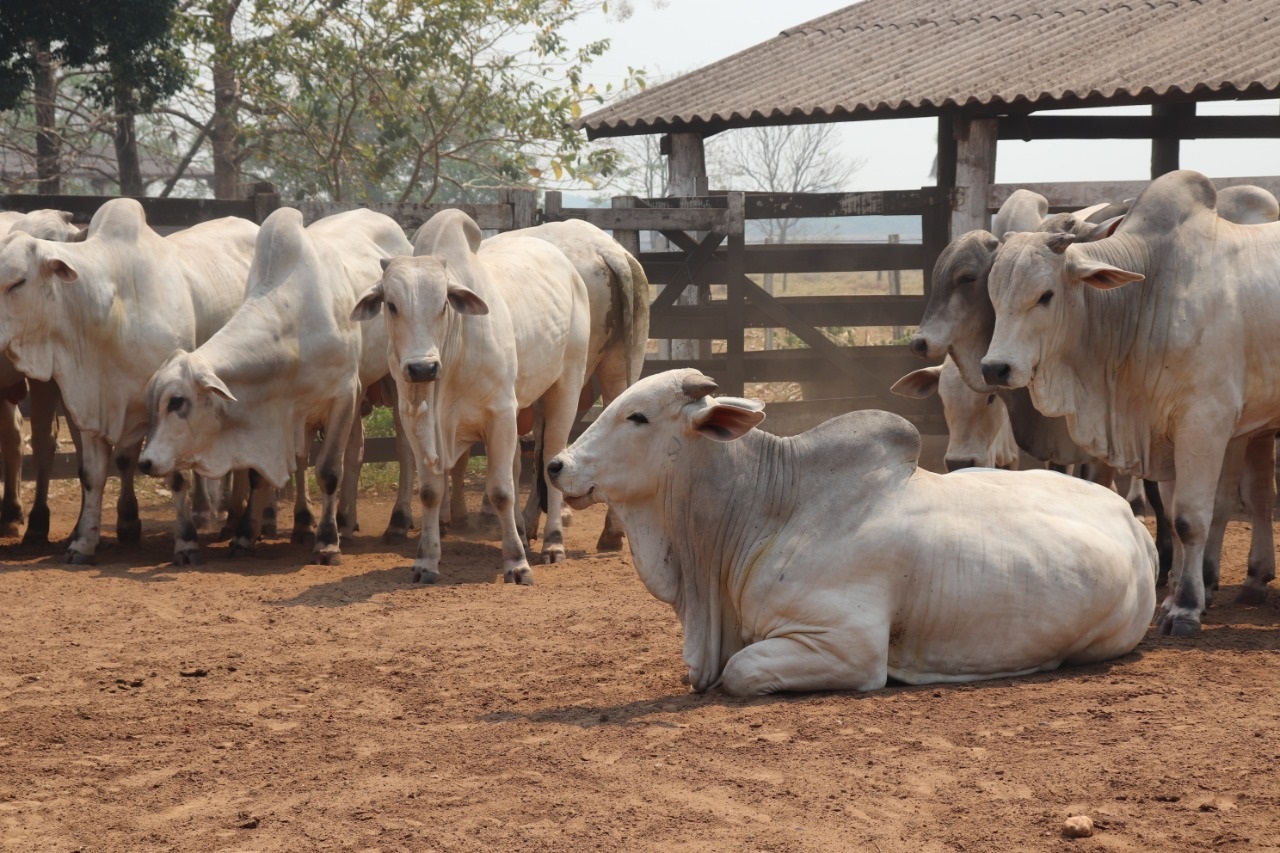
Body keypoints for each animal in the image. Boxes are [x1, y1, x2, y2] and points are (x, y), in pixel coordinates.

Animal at [0, 197, 256, 558]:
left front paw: (185, 541)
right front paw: (83, 543)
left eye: (18, 282)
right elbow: (93, 474)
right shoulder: (88, 406)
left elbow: (174, 475)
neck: (109, 310)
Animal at [350, 206, 588, 584]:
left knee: (552, 454)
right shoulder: (414, 420)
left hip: (567, 383)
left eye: (443, 305)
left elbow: (502, 491)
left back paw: (552, 542)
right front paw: (426, 562)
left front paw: (516, 563)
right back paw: (524, 532)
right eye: (391, 305)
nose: (422, 368)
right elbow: (430, 491)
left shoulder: (500, 413)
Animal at [977, 167, 1280, 630]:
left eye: (1045, 295)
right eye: (994, 294)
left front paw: (1187, 607)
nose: (995, 368)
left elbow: (1192, 518)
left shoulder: (1204, 423)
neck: (1151, 293)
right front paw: (1173, 599)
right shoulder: (1162, 431)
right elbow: (1172, 516)